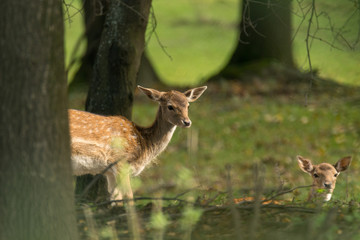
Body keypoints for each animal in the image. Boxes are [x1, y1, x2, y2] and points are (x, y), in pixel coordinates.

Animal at [69, 85, 207, 202]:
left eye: (188, 106)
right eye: (170, 106)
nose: (187, 122)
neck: (143, 142)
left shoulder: (110, 172)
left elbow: (115, 198)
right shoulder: (120, 161)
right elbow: (129, 196)